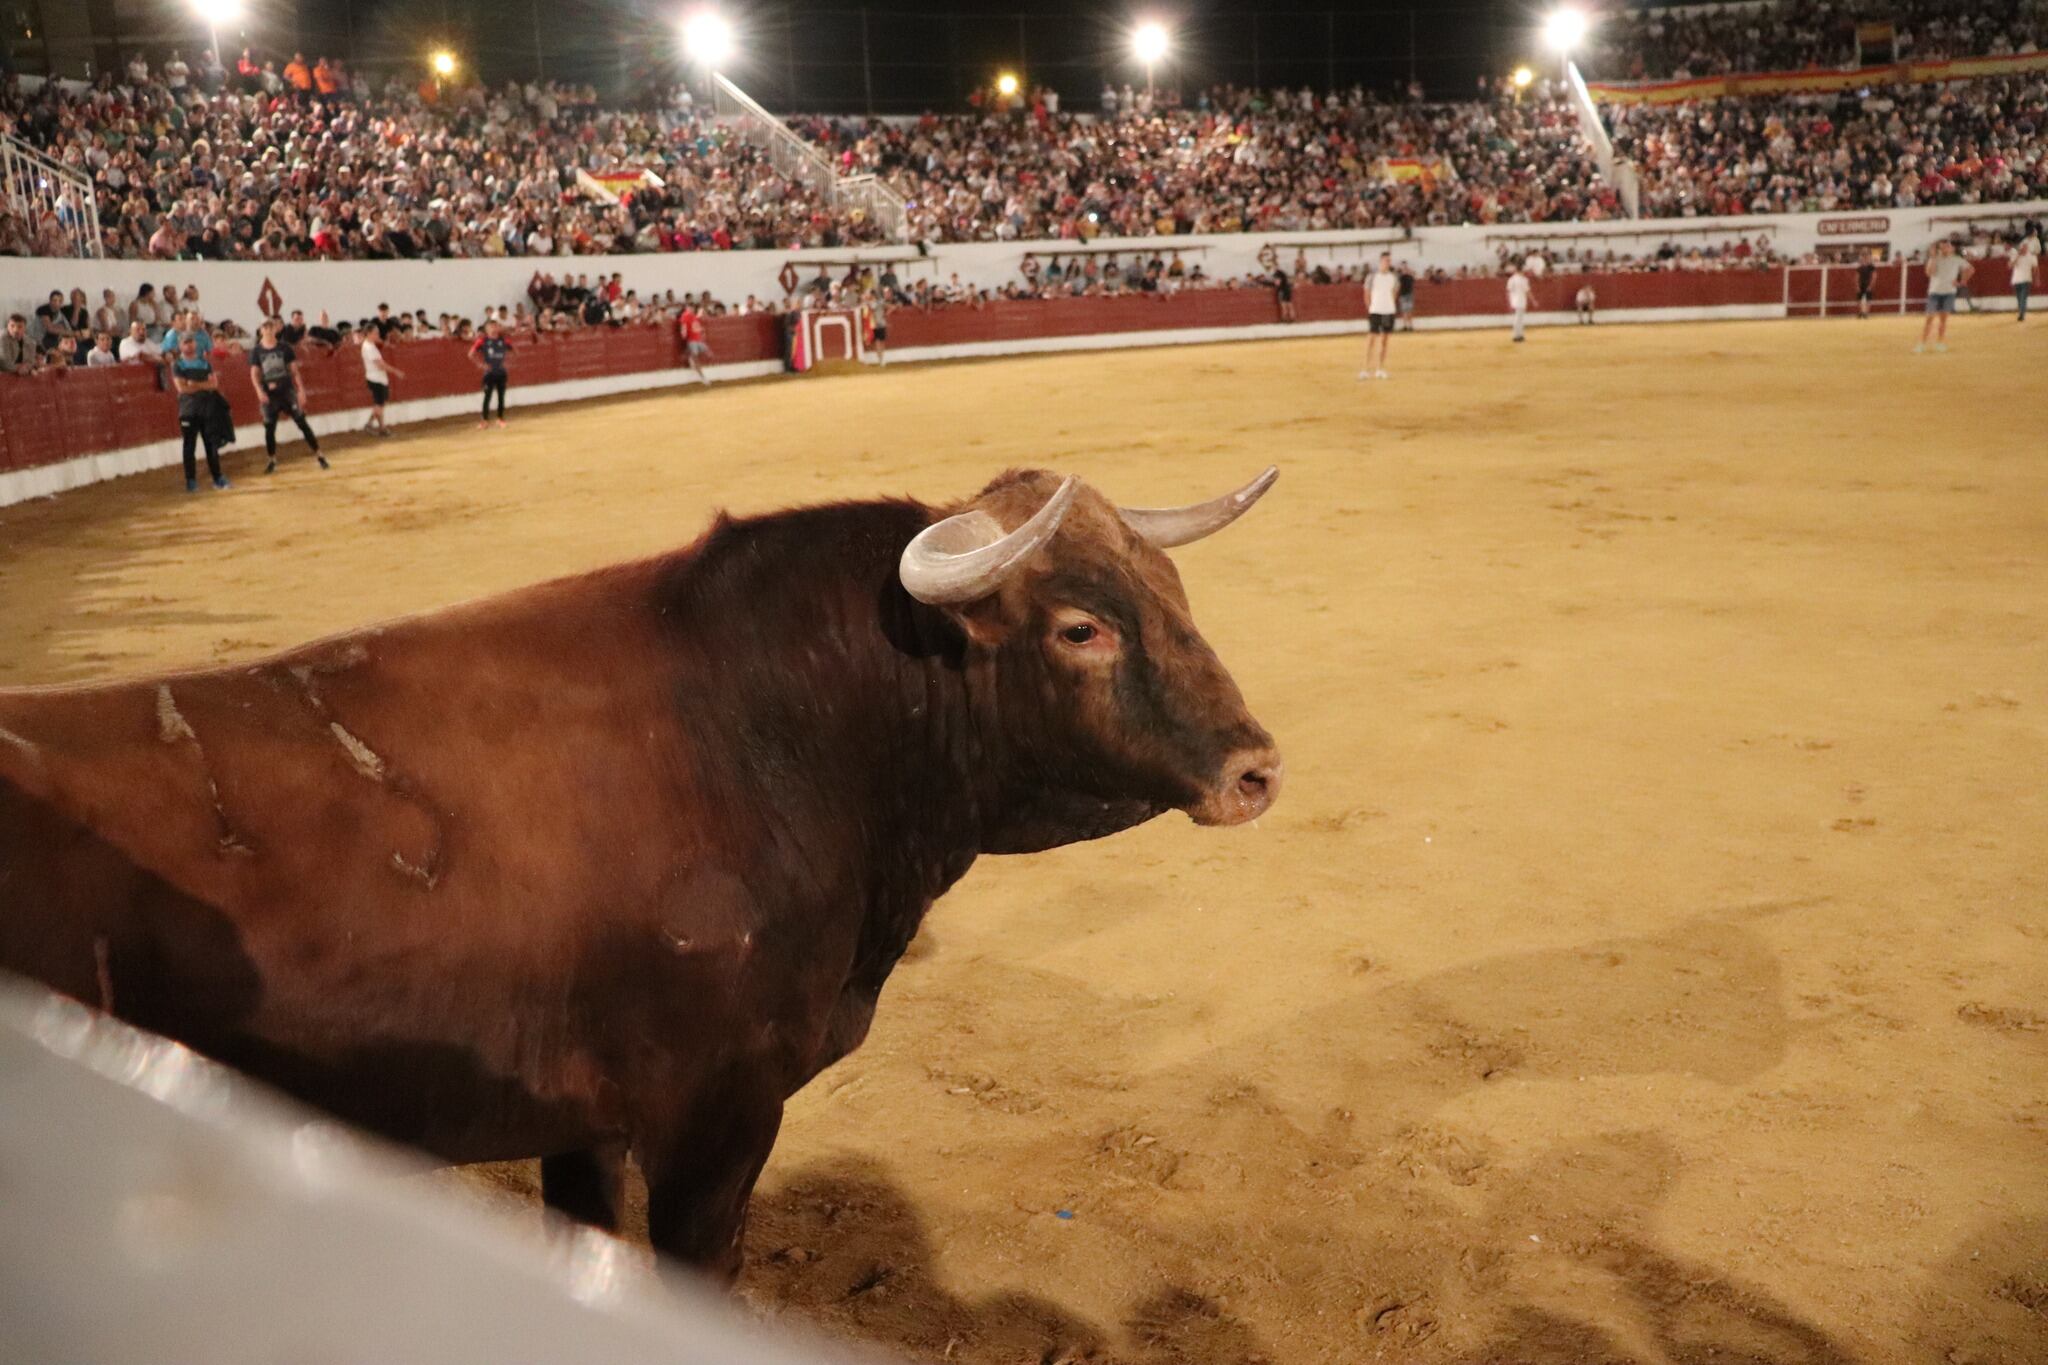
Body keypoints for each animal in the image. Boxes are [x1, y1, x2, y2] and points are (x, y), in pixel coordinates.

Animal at [0, 466, 1277, 1285]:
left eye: (1170, 590)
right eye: (1078, 628)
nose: (1256, 769)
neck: (772, 729)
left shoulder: (580, 1123)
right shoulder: (714, 1120)